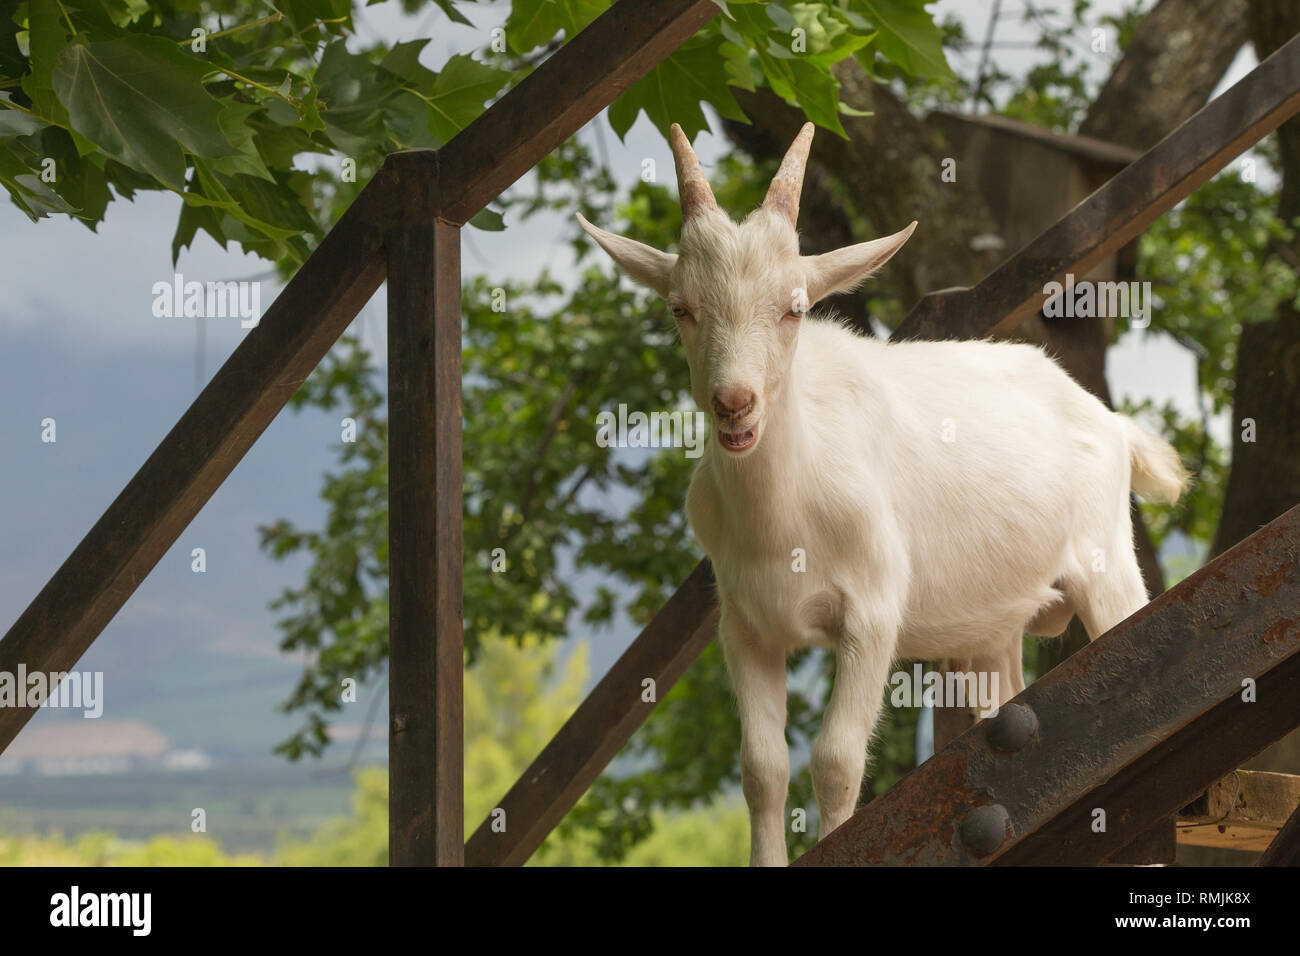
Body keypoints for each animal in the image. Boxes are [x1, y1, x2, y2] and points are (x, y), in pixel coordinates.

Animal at [579, 121, 1190, 868]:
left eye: (793, 308)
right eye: (680, 308)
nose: (734, 403)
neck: (782, 517)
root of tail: (1109, 421)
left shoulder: (871, 610)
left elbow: (837, 759)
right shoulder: (745, 627)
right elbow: (762, 769)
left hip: (1106, 561)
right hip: (994, 628)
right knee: (1010, 710)